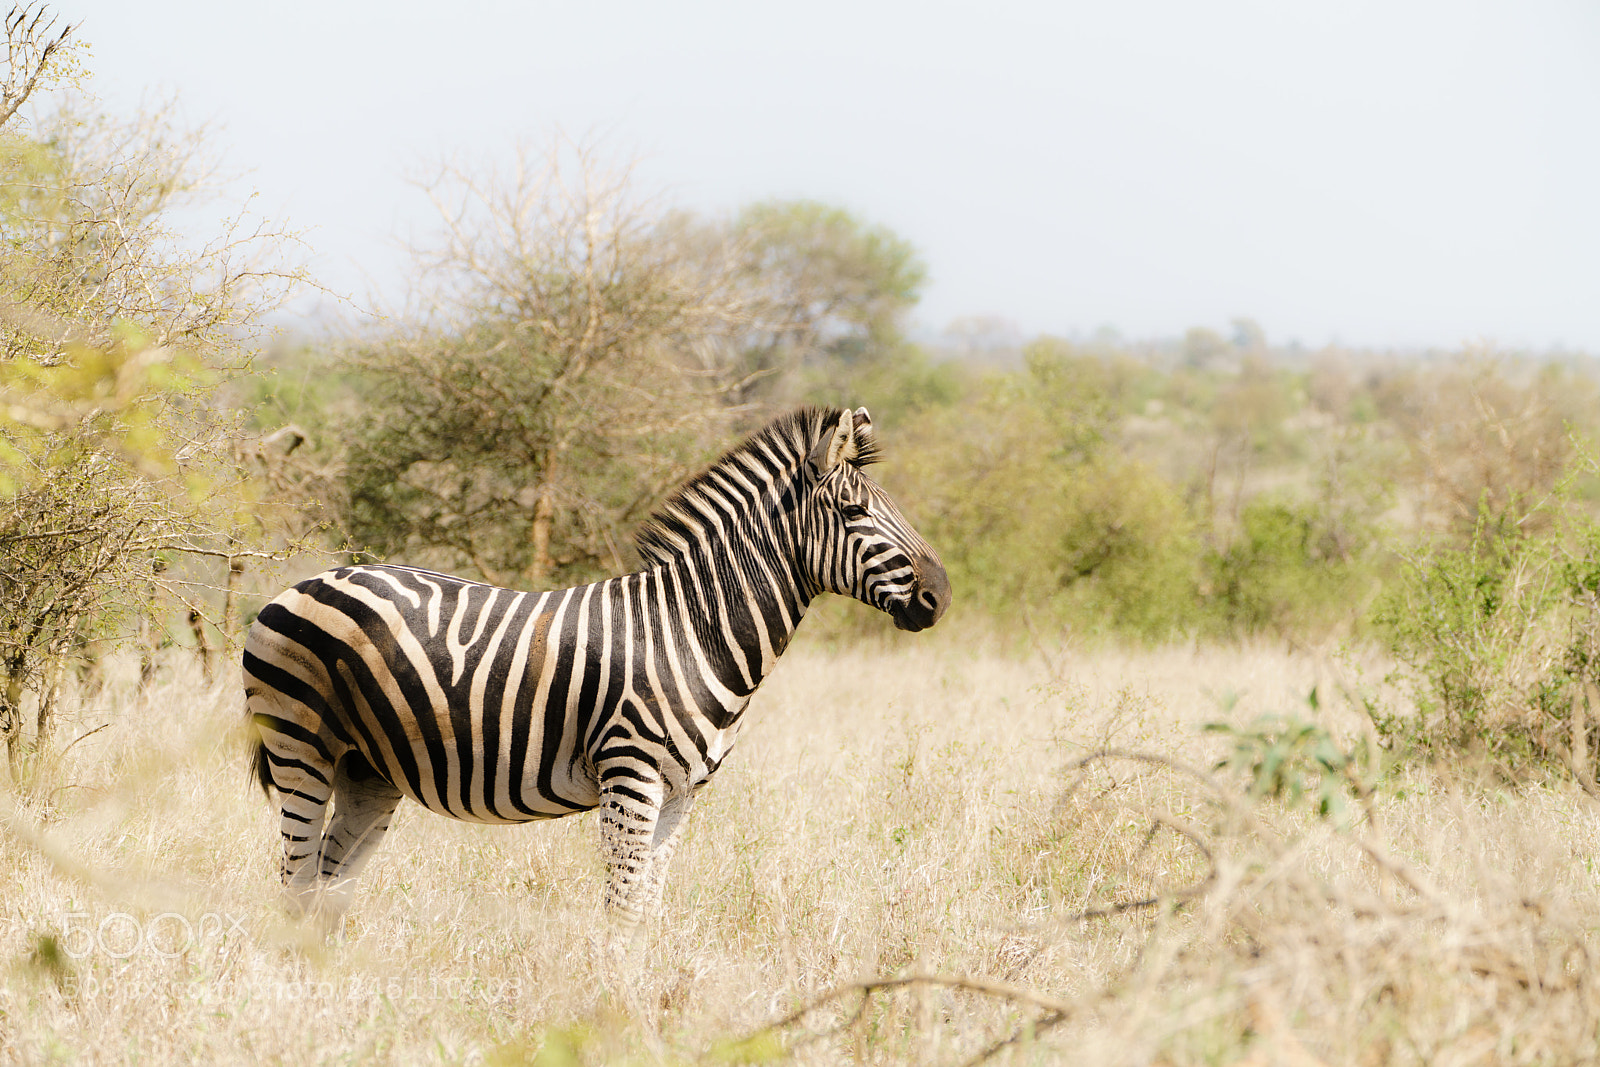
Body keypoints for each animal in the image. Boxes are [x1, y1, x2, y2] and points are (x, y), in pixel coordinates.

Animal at [244, 405, 949, 940]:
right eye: (854, 513)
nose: (940, 595)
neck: (693, 630)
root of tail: (303, 582)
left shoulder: (682, 791)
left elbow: (647, 910)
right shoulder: (630, 774)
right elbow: (622, 909)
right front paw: (611, 1004)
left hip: (368, 770)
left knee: (324, 888)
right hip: (302, 748)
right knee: (293, 882)